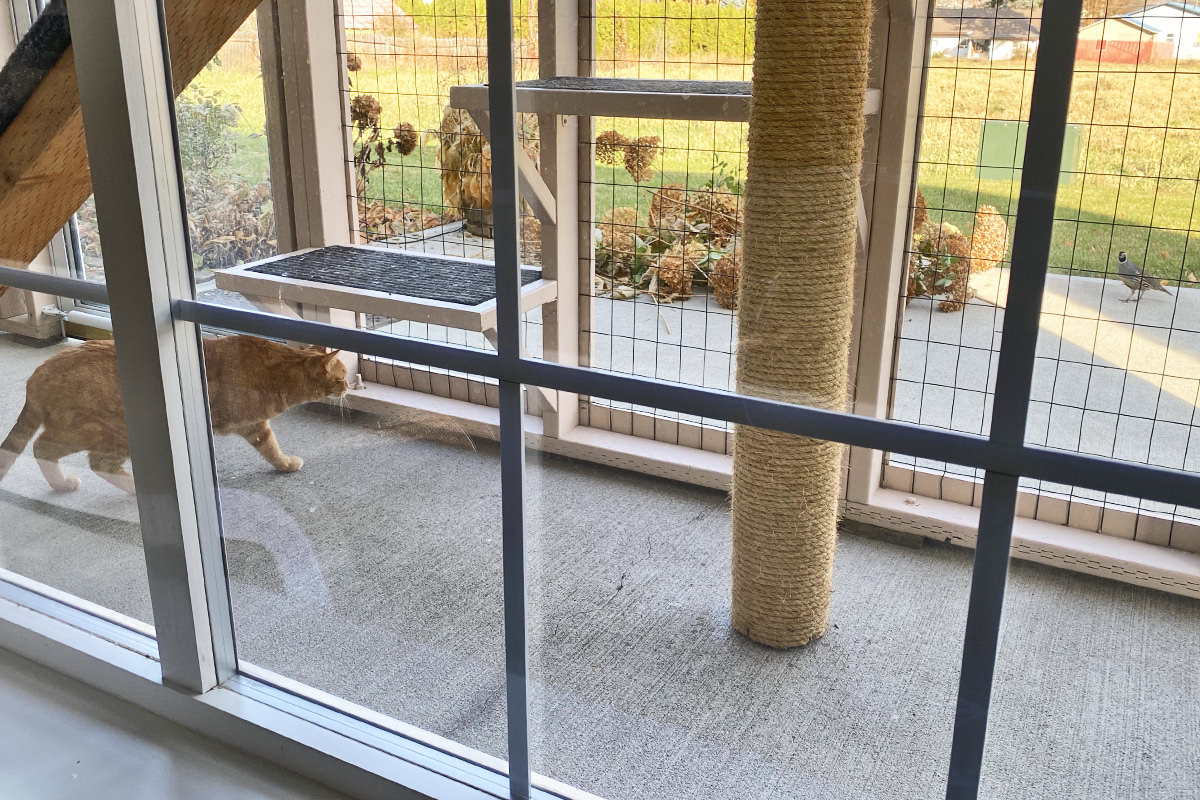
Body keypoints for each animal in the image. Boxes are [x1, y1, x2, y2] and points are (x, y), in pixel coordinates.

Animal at [0, 333, 348, 494]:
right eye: (342, 377)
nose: (348, 387)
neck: (275, 374)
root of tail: (37, 375)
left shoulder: (254, 426)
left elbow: (270, 448)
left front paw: (284, 464)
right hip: (107, 432)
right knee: (50, 449)